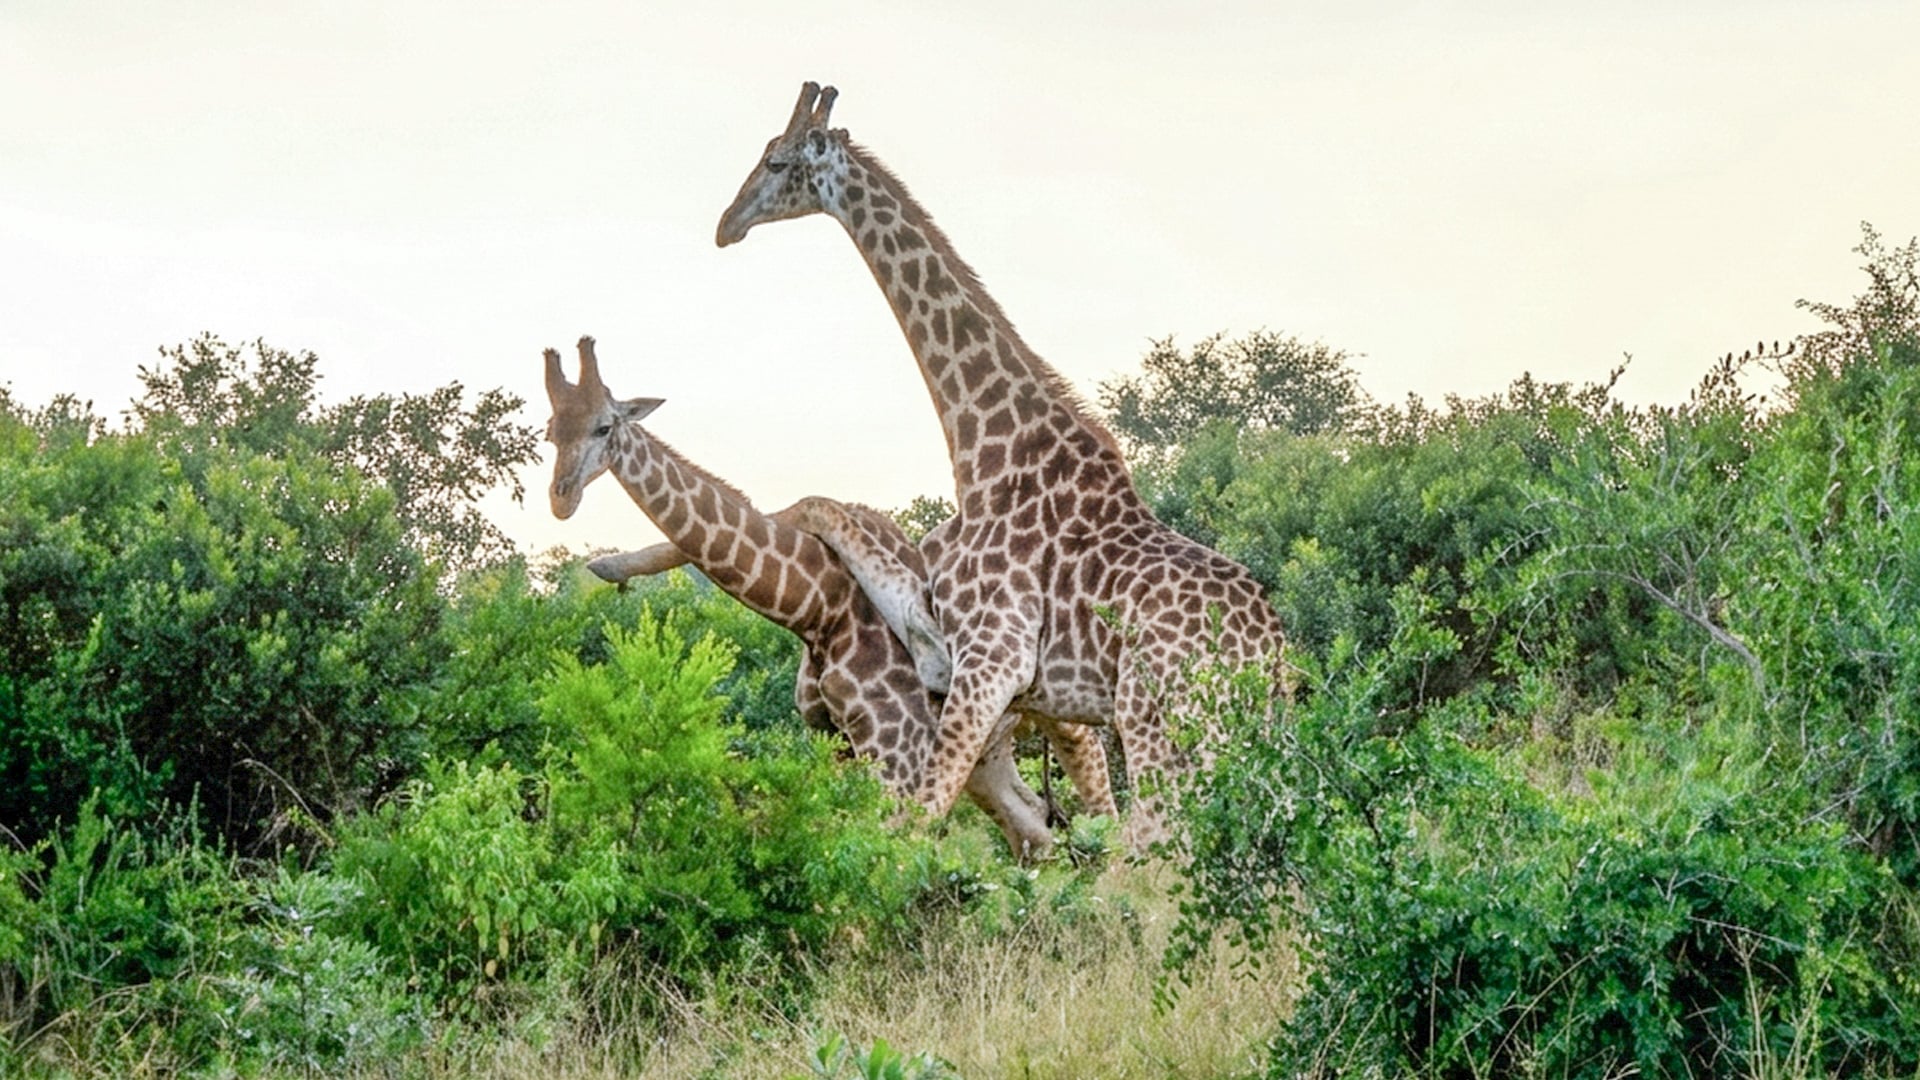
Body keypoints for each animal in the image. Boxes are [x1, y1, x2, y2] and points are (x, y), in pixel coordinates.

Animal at [543, 335, 1113, 859]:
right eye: (550, 430)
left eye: (604, 426)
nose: (561, 498)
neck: (815, 607)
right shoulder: (835, 742)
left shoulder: (897, 751)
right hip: (989, 754)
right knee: (1034, 832)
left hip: (1055, 717)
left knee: (1097, 797)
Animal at [716, 83, 1289, 845]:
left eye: (777, 162)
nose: (726, 225)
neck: (987, 449)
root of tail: (1273, 653)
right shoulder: (955, 652)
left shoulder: (991, 663)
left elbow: (920, 817)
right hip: (1239, 737)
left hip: (1160, 718)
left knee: (1163, 847)